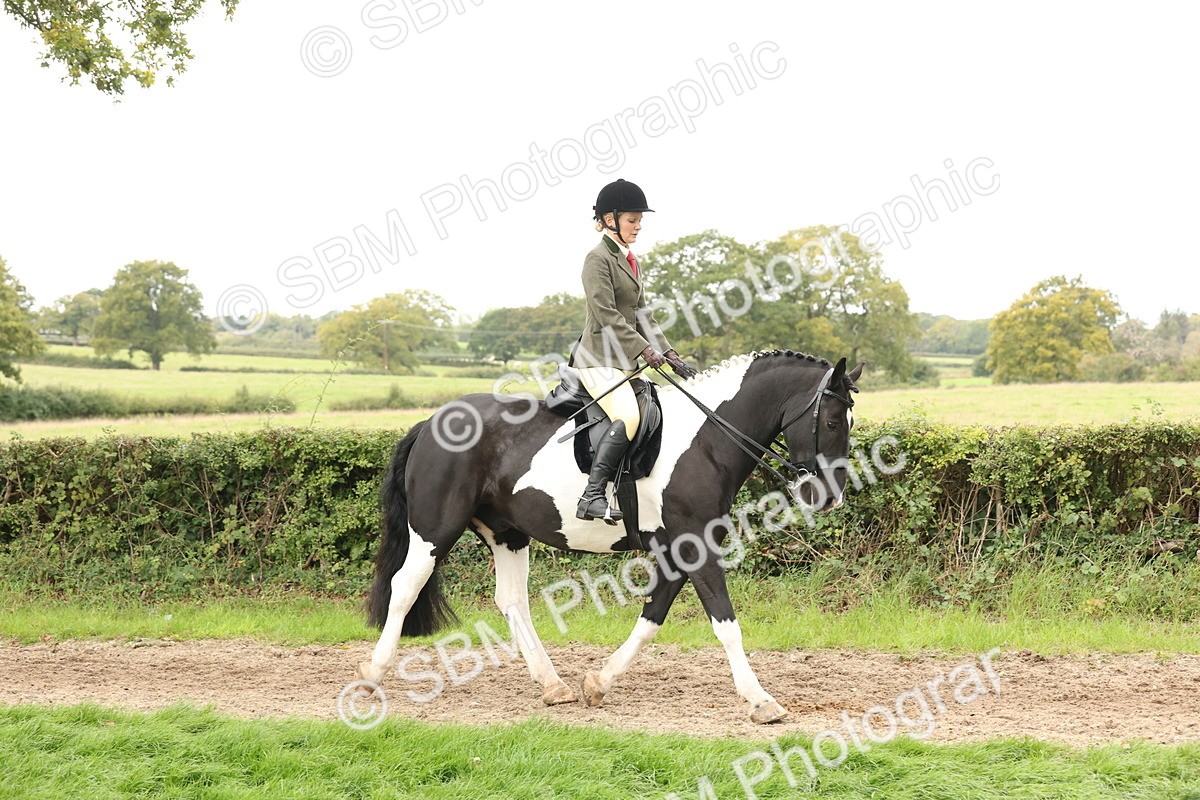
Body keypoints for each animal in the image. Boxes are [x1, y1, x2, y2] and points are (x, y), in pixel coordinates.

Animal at [357, 350, 863, 723]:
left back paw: (554, 686)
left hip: (507, 533)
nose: (829, 498)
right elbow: (726, 622)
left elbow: (652, 617)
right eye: (832, 422)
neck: (706, 439)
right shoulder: (696, 545)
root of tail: (431, 422)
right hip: (435, 529)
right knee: (406, 586)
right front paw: (761, 701)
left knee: (512, 601)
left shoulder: (679, 548)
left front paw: (598, 683)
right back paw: (372, 674)